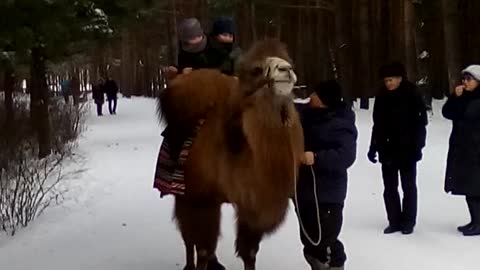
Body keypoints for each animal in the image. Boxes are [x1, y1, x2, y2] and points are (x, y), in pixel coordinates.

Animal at [159, 39, 306, 270]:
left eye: (288, 60)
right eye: (256, 69)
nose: (286, 70)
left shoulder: (252, 206)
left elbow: (249, 252)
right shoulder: (201, 199)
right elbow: (201, 248)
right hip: (186, 195)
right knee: (188, 238)